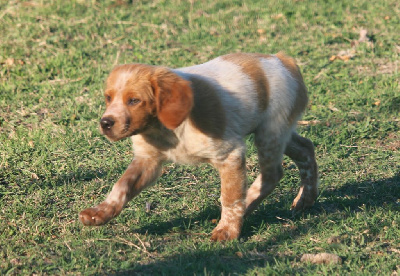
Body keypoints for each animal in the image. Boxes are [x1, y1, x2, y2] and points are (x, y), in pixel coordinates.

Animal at [79, 52, 318, 242]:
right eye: (108, 98)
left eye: (134, 100)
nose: (105, 123)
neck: (165, 130)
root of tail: (283, 59)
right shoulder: (148, 160)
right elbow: (122, 186)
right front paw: (100, 213)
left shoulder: (230, 154)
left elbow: (230, 197)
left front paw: (228, 230)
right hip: (278, 132)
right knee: (306, 148)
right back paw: (305, 200)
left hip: (270, 133)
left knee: (272, 174)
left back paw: (247, 206)